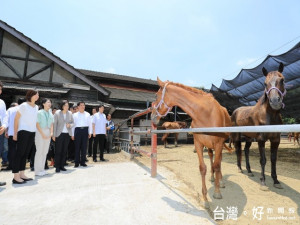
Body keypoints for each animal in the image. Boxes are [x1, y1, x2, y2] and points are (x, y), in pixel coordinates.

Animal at [152, 78, 232, 208]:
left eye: (156, 95)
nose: (152, 116)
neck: (205, 114)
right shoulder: (198, 144)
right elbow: (202, 168)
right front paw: (205, 199)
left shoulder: (218, 143)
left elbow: (216, 165)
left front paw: (217, 192)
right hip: (209, 146)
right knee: (211, 157)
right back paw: (212, 178)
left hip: (218, 145)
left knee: (218, 162)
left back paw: (220, 181)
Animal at [232, 62, 286, 191]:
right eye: (265, 83)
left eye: (282, 80)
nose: (275, 101)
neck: (270, 116)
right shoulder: (261, 139)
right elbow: (263, 160)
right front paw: (263, 182)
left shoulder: (276, 140)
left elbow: (273, 159)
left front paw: (276, 181)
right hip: (237, 136)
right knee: (238, 150)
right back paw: (239, 168)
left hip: (249, 138)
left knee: (246, 151)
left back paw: (249, 170)